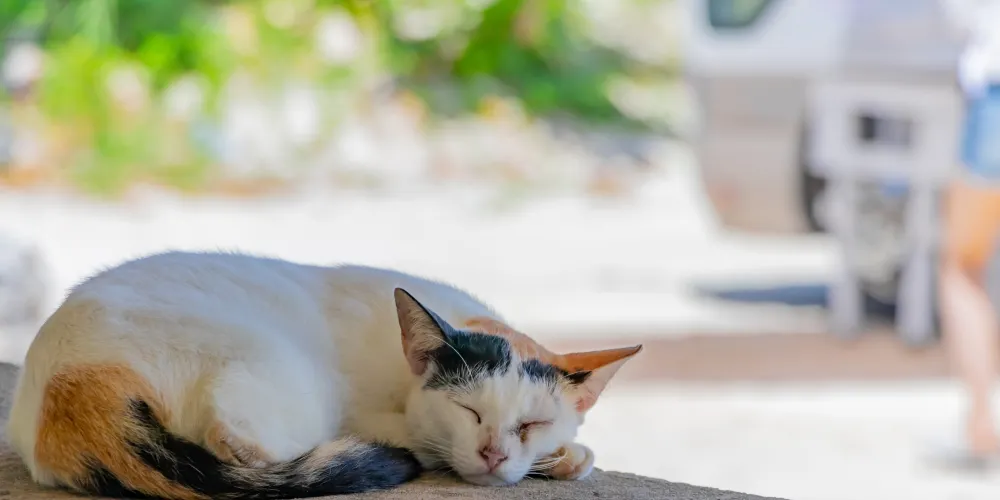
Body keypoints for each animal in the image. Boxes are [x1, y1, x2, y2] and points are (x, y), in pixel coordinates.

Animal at [5, 251, 640, 499]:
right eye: (469, 410)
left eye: (530, 423)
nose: (493, 454)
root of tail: (72, 386)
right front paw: (565, 459)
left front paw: (557, 455)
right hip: (279, 364)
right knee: (237, 440)